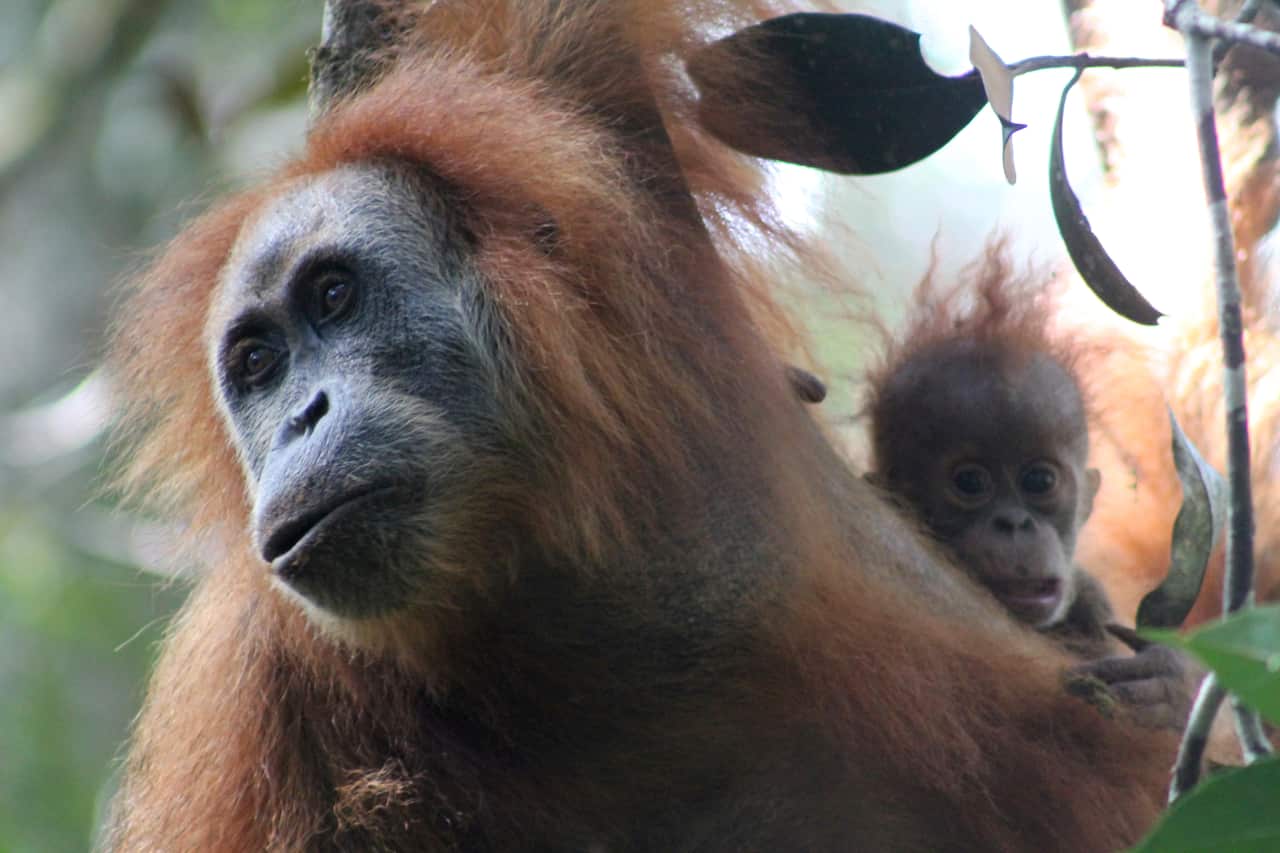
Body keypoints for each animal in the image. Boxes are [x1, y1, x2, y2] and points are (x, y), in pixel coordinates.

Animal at [103, 2, 1179, 850]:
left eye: (333, 295)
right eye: (257, 363)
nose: (300, 416)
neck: (558, 572)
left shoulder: (607, 167)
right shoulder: (254, 693)